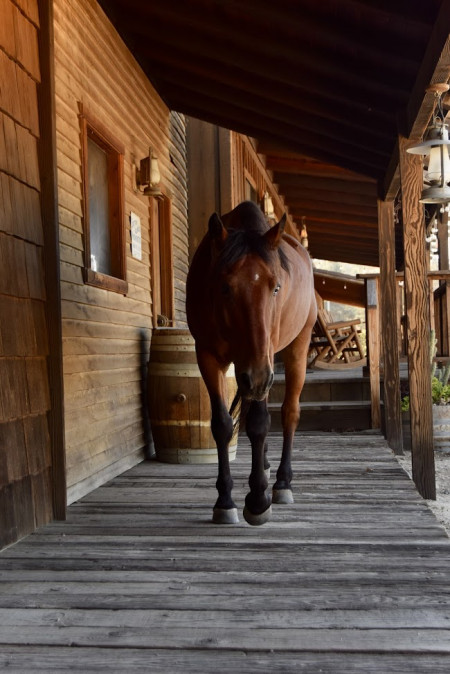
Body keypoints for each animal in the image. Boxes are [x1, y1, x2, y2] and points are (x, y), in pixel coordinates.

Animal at [186, 200, 316, 524]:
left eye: (276, 287)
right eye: (224, 287)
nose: (256, 380)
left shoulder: (263, 362)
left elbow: (258, 423)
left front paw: (258, 499)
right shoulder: (208, 356)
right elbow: (222, 424)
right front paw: (224, 500)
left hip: (296, 348)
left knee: (289, 413)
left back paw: (281, 482)